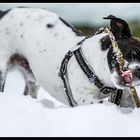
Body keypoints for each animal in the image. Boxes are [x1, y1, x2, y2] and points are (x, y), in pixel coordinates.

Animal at [0, 7, 140, 107]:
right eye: (133, 52)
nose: (138, 70)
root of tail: (4, 12)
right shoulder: (85, 98)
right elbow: (107, 105)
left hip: (32, 79)